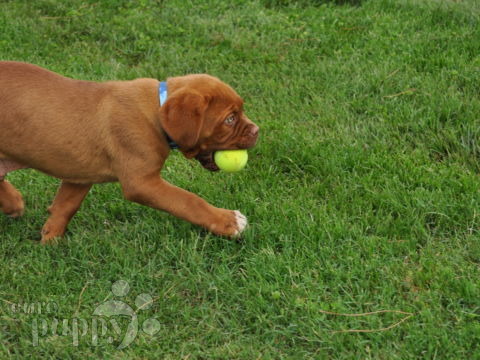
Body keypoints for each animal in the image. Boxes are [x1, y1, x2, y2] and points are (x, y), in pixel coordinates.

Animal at [0, 62, 258, 243]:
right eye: (230, 119)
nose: (257, 131)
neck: (156, 109)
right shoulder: (142, 183)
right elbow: (188, 200)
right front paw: (228, 222)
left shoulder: (79, 175)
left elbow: (66, 206)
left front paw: (50, 239)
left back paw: (12, 203)